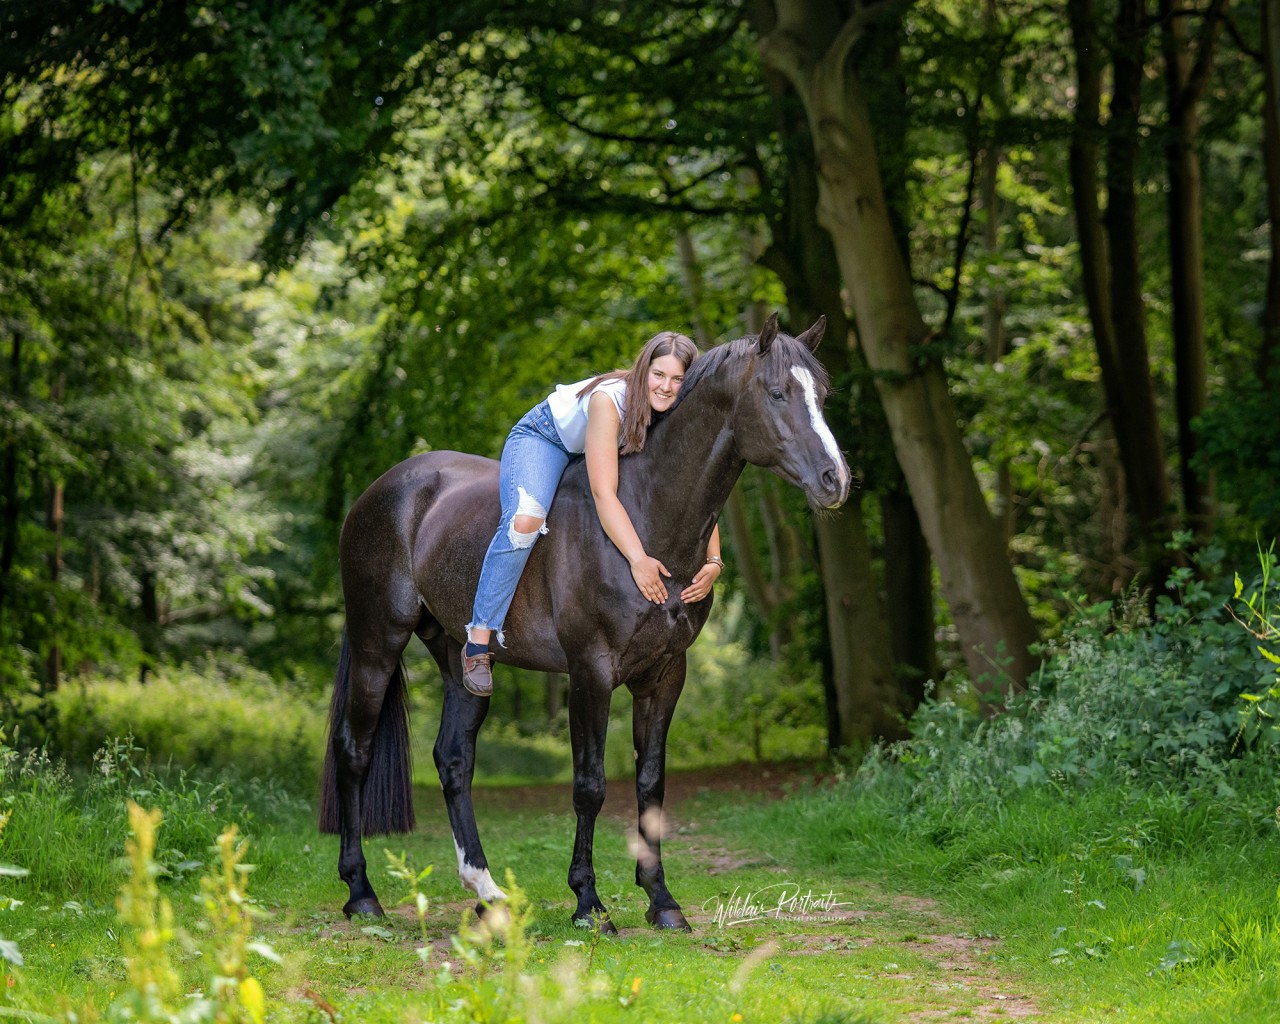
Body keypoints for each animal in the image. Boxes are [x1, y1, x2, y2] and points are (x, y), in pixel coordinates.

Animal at [319, 313, 850, 932]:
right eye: (776, 392)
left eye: (823, 394)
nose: (835, 480)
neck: (644, 519)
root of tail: (380, 491)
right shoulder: (590, 672)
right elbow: (590, 786)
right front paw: (589, 904)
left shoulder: (665, 675)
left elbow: (651, 784)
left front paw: (661, 900)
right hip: (377, 641)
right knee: (354, 750)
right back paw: (362, 893)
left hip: (460, 660)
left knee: (453, 761)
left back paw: (488, 893)